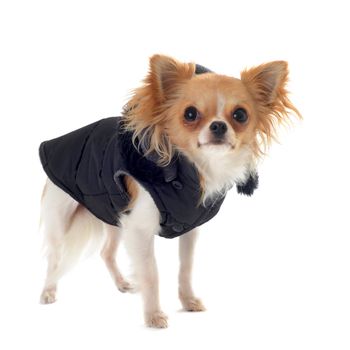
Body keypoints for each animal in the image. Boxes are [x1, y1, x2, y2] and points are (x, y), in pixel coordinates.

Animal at [39, 53, 300, 326]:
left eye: (240, 115)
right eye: (190, 114)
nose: (218, 126)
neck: (194, 170)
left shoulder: (187, 229)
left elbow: (185, 268)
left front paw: (188, 301)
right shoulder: (139, 229)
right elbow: (151, 273)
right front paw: (153, 316)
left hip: (114, 216)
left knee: (106, 252)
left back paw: (122, 283)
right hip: (60, 216)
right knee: (54, 256)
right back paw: (48, 291)